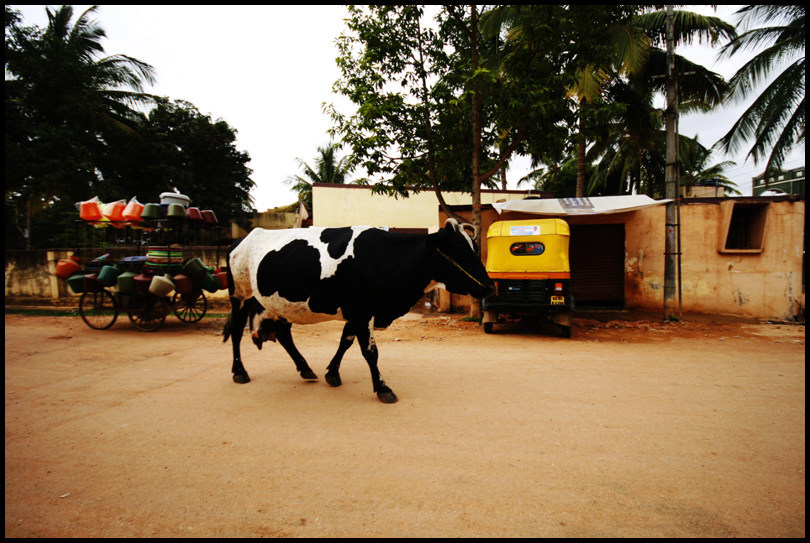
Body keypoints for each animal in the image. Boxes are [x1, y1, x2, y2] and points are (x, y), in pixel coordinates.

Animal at [221, 220, 492, 404]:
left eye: (473, 247)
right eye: (458, 251)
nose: (490, 286)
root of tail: (241, 239)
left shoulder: (358, 311)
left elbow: (346, 341)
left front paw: (332, 373)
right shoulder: (362, 311)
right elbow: (370, 352)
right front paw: (383, 388)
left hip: (279, 304)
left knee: (284, 334)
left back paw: (306, 369)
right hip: (240, 295)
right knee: (237, 330)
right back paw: (239, 372)